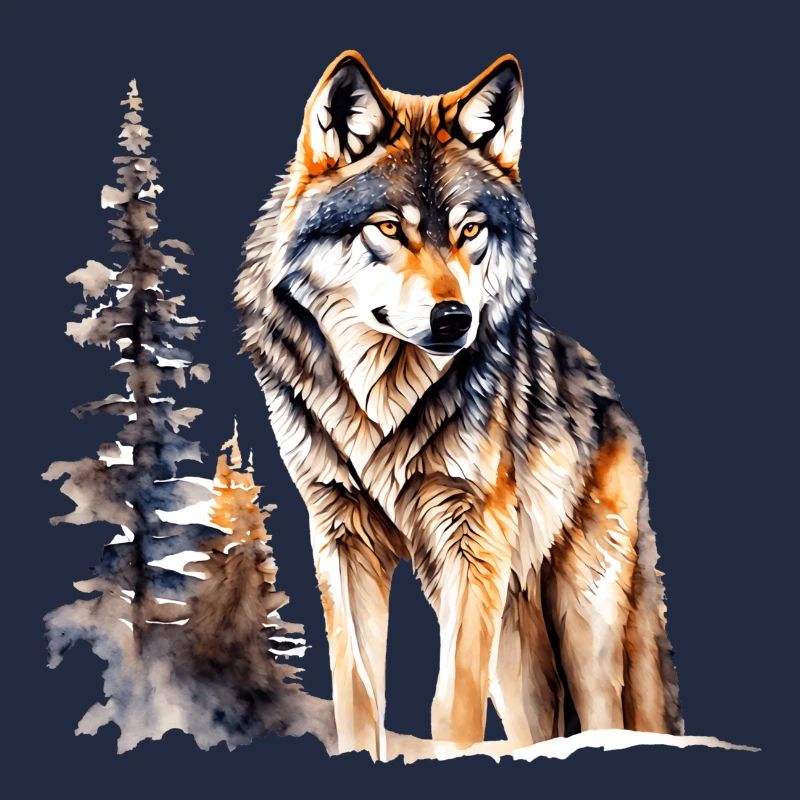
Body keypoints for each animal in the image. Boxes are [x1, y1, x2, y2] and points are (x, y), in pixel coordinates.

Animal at [236, 50, 682, 759]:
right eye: (389, 229)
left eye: (470, 230)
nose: (455, 319)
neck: (381, 404)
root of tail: (607, 392)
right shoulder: (340, 535)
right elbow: (357, 694)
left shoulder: (470, 541)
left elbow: (452, 704)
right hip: (517, 642)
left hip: (584, 616)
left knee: (608, 710)